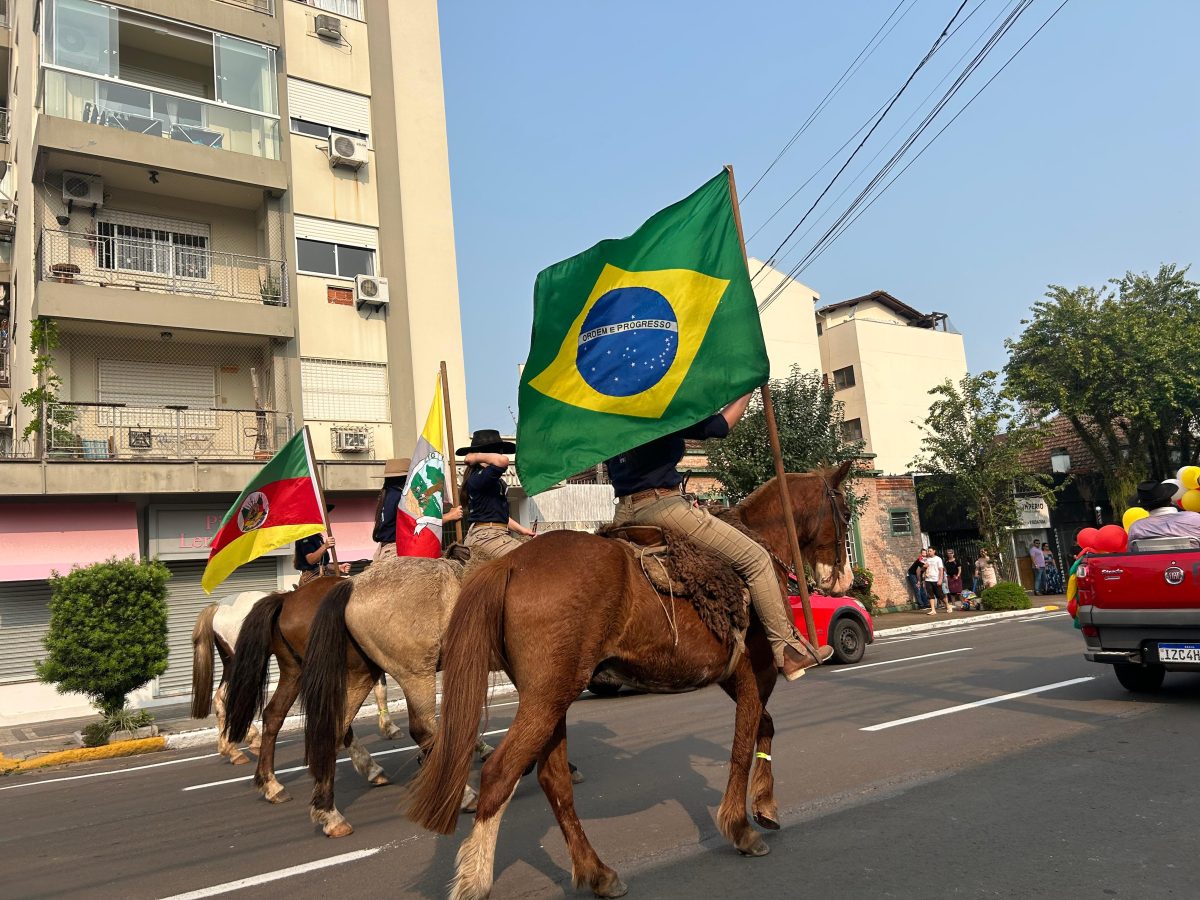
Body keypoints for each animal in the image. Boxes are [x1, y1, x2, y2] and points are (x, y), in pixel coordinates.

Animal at [410, 468, 854, 897]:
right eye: (846, 513)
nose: (847, 581)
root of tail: (510, 564)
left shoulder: (730, 675)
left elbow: (765, 726)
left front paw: (765, 806)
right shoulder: (754, 670)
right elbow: (743, 743)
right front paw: (740, 827)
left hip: (552, 697)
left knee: (554, 779)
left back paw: (597, 873)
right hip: (547, 697)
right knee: (500, 774)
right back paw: (474, 881)